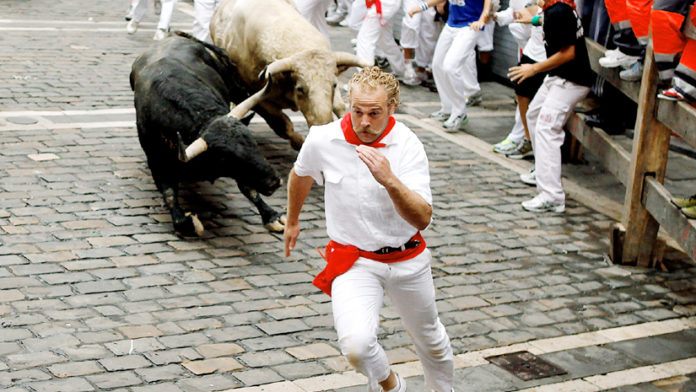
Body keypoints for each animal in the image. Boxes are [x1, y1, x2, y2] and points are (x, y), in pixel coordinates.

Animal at [129, 33, 284, 236]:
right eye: (227, 158)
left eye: (253, 143)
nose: (274, 182)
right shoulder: (157, 162)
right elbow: (170, 197)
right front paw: (189, 221)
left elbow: (248, 188)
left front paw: (272, 216)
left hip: (234, 85)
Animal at [211, 0, 370, 149]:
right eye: (300, 89)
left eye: (334, 84)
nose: (323, 124)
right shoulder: (258, 96)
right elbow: (284, 125)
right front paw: (300, 143)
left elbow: (340, 107)